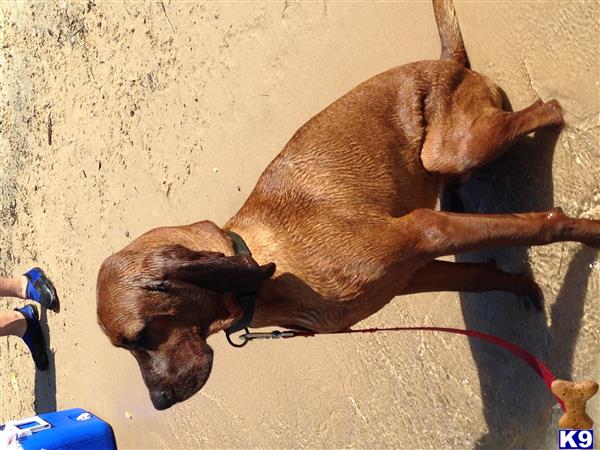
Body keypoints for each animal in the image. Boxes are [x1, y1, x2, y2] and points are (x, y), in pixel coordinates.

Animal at [96, 0, 596, 412]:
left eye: (143, 335)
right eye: (126, 348)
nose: (159, 402)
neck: (264, 270)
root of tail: (445, 60)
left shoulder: (425, 231)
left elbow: (542, 225)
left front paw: (588, 234)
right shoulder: (416, 271)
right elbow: (481, 275)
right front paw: (520, 286)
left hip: (455, 148)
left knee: (544, 109)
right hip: (445, 159)